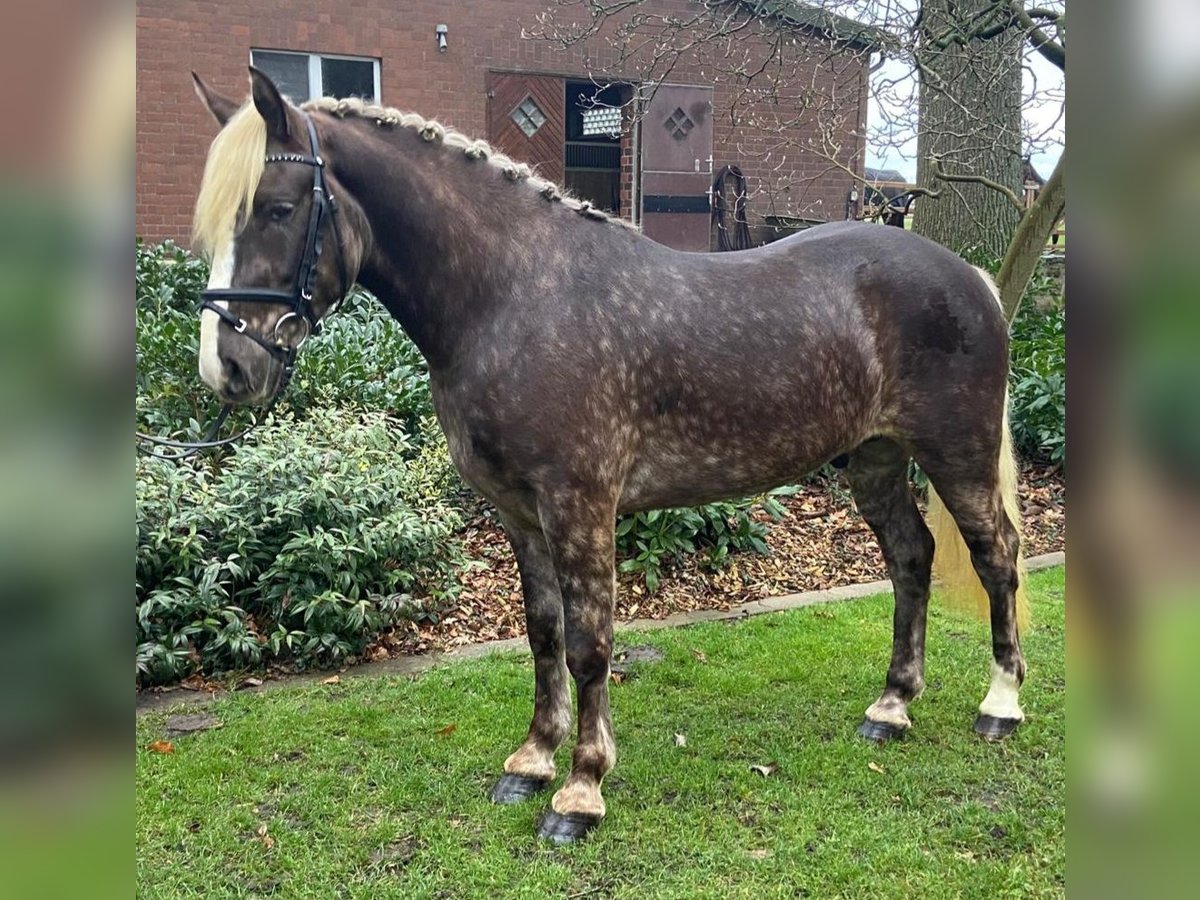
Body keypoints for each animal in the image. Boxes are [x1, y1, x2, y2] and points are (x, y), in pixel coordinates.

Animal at [188, 67, 1029, 844]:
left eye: (279, 208)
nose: (226, 367)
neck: (514, 296)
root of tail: (970, 276)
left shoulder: (580, 506)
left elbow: (590, 646)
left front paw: (581, 791)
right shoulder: (521, 514)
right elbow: (543, 635)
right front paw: (531, 761)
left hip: (957, 454)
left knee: (996, 555)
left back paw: (1000, 704)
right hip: (876, 457)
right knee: (912, 557)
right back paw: (891, 707)